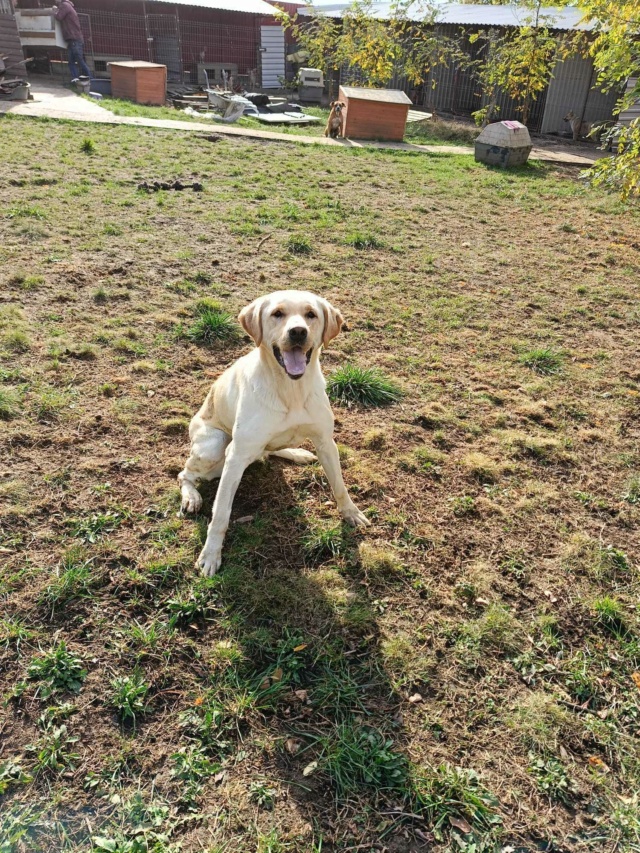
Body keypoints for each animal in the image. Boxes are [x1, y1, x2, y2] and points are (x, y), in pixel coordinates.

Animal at [179, 290, 370, 576]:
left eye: (311, 314)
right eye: (277, 313)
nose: (298, 332)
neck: (291, 390)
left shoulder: (326, 442)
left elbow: (339, 485)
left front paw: (351, 512)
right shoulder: (236, 455)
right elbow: (221, 514)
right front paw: (211, 555)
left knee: (270, 451)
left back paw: (297, 453)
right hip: (214, 447)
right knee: (184, 474)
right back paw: (191, 496)